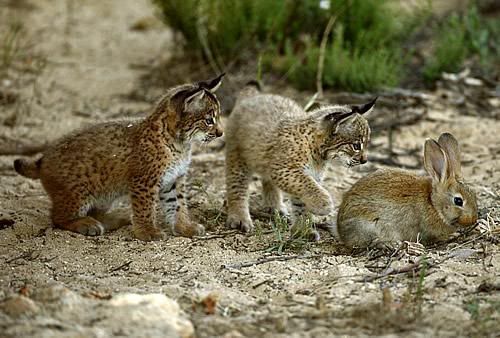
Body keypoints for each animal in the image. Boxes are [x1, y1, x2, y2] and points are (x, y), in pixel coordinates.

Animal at [14, 75, 225, 242]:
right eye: (209, 120)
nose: (221, 133)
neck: (179, 143)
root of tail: (44, 157)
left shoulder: (174, 179)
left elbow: (179, 204)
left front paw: (184, 226)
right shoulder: (144, 180)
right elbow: (145, 208)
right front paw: (147, 232)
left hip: (105, 192)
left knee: (93, 211)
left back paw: (113, 220)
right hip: (78, 192)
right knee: (57, 217)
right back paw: (85, 224)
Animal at [224, 84, 376, 238]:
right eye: (356, 146)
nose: (365, 160)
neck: (317, 152)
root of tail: (254, 96)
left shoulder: (306, 174)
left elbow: (301, 202)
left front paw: (303, 230)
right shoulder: (284, 169)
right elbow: (307, 185)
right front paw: (323, 204)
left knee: (266, 180)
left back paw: (275, 206)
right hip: (238, 156)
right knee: (237, 187)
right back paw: (239, 218)